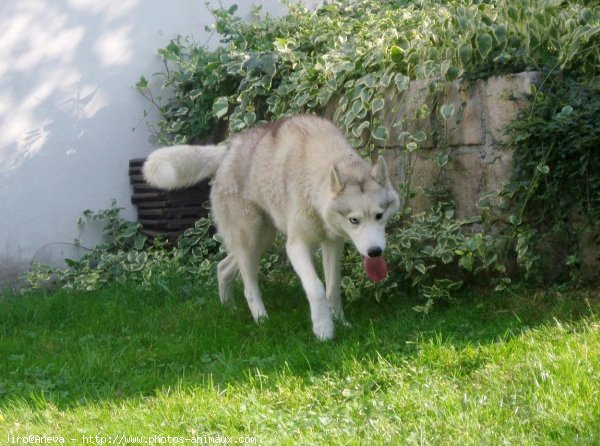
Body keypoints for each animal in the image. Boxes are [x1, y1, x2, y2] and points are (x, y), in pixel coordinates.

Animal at [144, 114, 398, 338]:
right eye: (354, 220)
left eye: (379, 215)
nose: (375, 252)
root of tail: (228, 149)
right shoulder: (296, 247)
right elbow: (315, 287)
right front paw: (324, 329)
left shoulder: (333, 244)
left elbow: (333, 287)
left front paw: (341, 322)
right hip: (250, 239)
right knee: (248, 288)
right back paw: (262, 320)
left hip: (261, 240)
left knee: (223, 268)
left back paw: (229, 310)